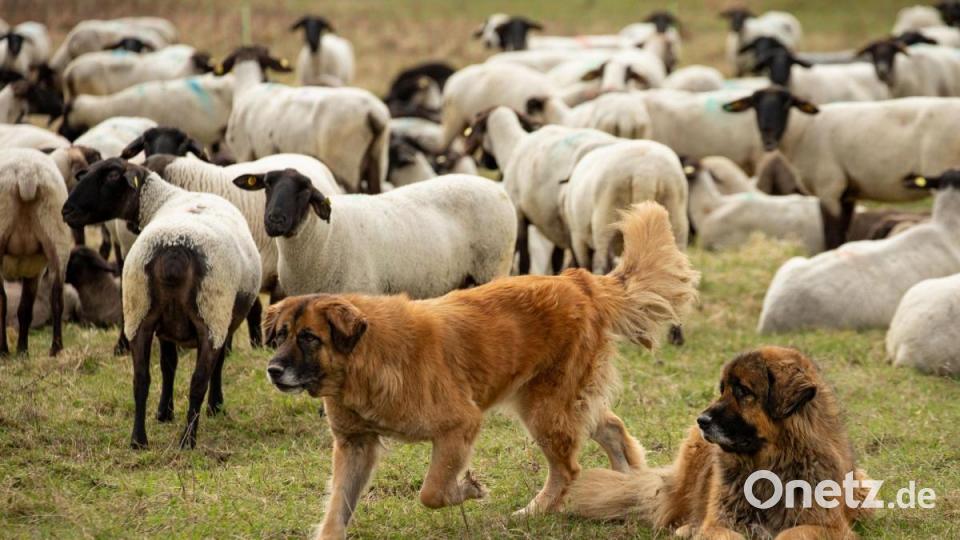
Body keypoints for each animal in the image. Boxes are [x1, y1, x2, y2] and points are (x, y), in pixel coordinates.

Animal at [0, 148, 73, 356]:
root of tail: (27, 173)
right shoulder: (34, 270)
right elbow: (25, 308)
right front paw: (22, 351)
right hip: (57, 233)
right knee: (57, 296)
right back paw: (55, 349)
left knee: (1, 300)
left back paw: (3, 350)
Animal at [62, 158, 261, 449]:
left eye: (111, 176)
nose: (67, 210)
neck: (163, 199)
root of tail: (174, 252)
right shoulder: (220, 323)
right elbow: (204, 365)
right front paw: (213, 407)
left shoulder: (166, 327)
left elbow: (167, 365)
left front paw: (164, 412)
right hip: (211, 312)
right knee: (198, 381)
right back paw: (187, 440)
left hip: (139, 311)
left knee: (141, 379)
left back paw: (138, 440)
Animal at [231, 168, 516, 299]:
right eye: (267, 185)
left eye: (305, 192)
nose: (274, 220)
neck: (323, 239)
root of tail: (498, 188)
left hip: (493, 267)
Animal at [721, 86, 960, 248]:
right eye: (754, 104)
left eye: (787, 104)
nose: (768, 138)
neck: (803, 131)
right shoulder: (847, 193)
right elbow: (842, 236)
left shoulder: (829, 188)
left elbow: (832, 237)